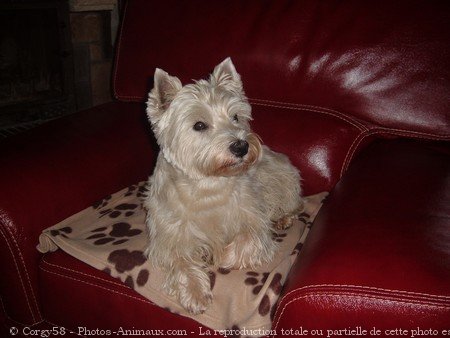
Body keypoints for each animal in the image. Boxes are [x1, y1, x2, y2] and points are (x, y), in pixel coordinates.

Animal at [144, 58, 302, 314]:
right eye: (199, 125)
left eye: (236, 117)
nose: (241, 146)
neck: (209, 184)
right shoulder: (168, 236)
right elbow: (181, 261)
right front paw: (196, 293)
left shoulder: (253, 219)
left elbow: (246, 241)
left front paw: (218, 255)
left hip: (281, 182)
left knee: (294, 204)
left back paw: (283, 218)